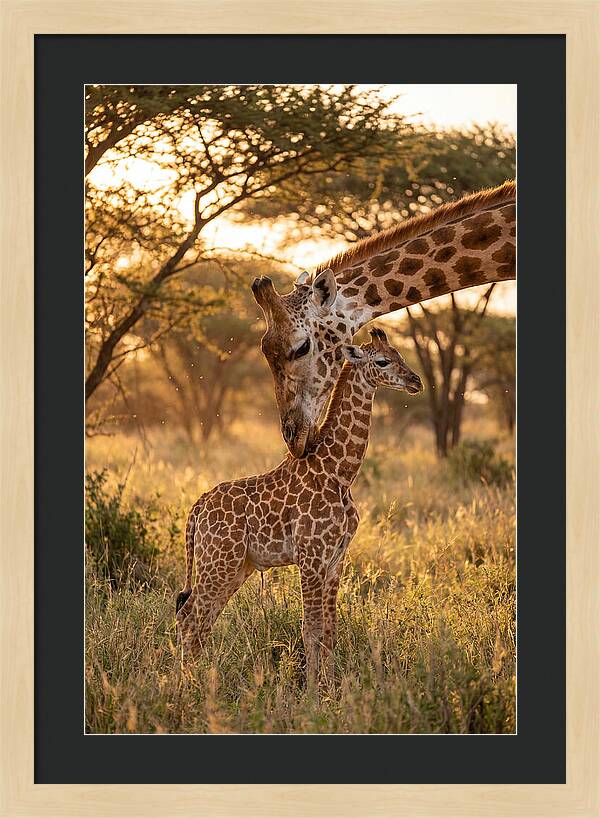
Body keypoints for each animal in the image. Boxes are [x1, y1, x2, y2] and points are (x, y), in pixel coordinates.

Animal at [176, 328, 423, 686]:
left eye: (400, 355)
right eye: (382, 361)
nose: (415, 381)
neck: (339, 472)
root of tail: (197, 508)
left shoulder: (335, 559)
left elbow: (331, 631)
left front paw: (332, 687)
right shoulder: (311, 556)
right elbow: (311, 629)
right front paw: (312, 692)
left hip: (236, 566)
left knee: (201, 618)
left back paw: (198, 680)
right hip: (218, 561)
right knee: (189, 617)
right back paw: (186, 687)